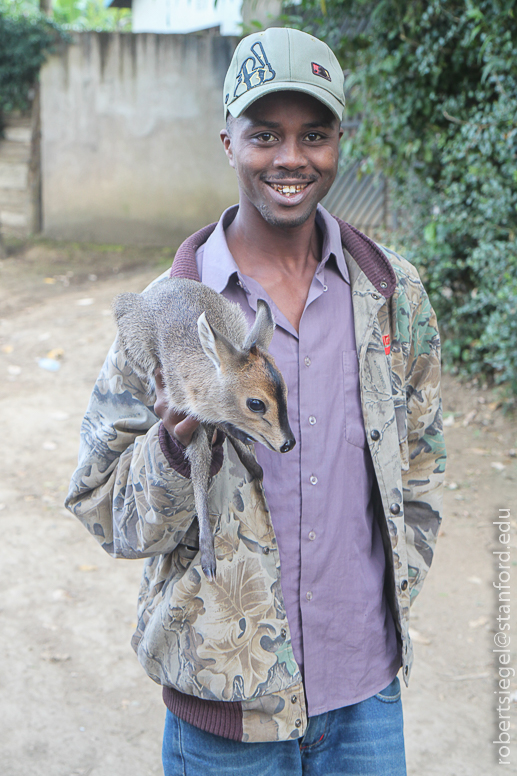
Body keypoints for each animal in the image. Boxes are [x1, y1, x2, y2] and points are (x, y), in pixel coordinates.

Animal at [112, 278, 294, 584]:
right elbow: (198, 472)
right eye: (256, 403)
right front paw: (207, 556)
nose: (288, 443)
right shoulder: (187, 421)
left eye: (286, 393)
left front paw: (253, 463)